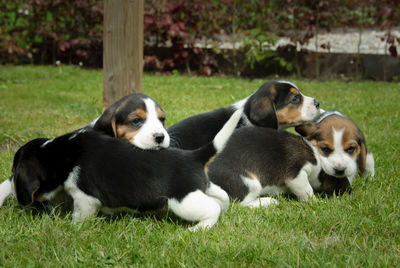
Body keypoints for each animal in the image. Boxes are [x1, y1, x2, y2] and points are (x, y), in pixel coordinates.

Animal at [2, 109, 244, 230]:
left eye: (14, 173)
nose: (12, 191)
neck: (58, 152)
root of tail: (193, 156)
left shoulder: (85, 198)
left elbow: (80, 216)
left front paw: (72, 227)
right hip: (202, 188)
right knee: (222, 198)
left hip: (183, 201)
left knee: (212, 208)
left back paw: (200, 228)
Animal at [206, 109, 376, 207]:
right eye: (326, 149)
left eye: (351, 149)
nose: (348, 190)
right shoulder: (296, 175)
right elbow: (307, 191)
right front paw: (316, 202)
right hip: (250, 182)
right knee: (241, 203)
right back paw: (267, 201)